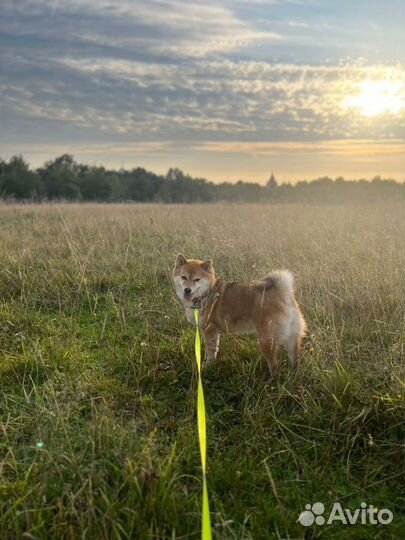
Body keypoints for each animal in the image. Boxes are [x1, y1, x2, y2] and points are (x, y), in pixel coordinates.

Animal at [170, 254, 306, 376]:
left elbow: (210, 352)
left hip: (267, 342)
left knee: (275, 367)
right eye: (183, 277)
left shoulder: (209, 330)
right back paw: (293, 376)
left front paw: (207, 367)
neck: (207, 294)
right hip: (291, 341)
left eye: (197, 279)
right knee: (295, 361)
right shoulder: (215, 332)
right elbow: (215, 349)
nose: (187, 290)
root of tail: (283, 295)